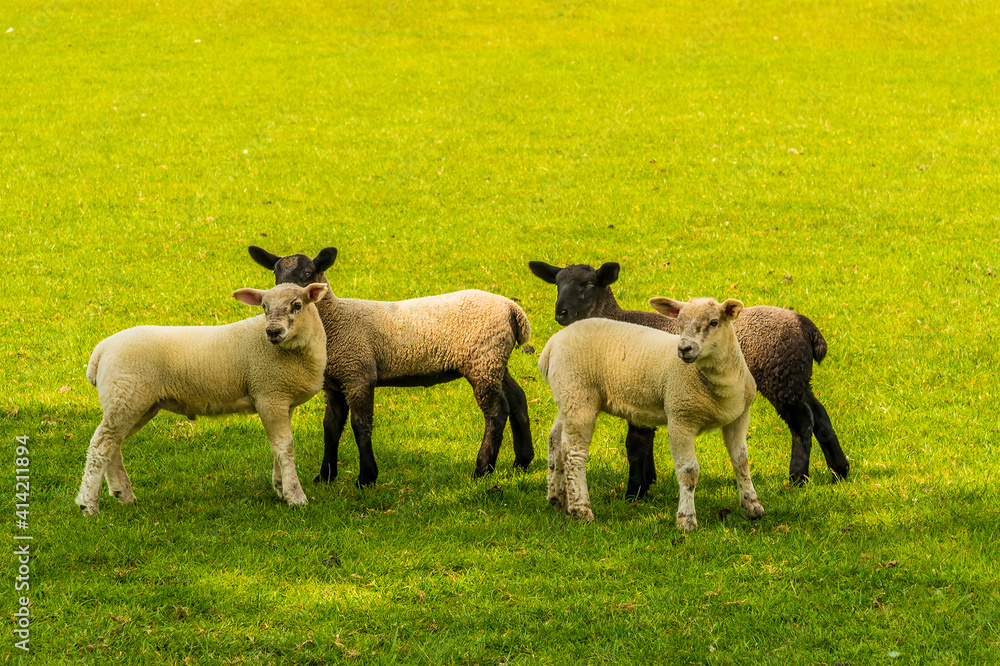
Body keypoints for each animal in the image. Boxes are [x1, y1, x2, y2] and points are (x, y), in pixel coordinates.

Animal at [76, 282, 329, 515]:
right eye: (264, 307)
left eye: (297, 305)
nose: (273, 332)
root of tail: (101, 350)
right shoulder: (269, 395)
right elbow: (285, 447)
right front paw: (295, 496)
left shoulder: (282, 400)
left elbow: (278, 446)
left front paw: (280, 487)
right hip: (126, 396)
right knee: (101, 445)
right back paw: (88, 504)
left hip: (133, 403)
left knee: (113, 445)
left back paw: (124, 494)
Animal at [248, 246, 534, 487]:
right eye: (275, 273)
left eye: (307, 273)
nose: (281, 300)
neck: (337, 320)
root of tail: (512, 309)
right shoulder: (336, 383)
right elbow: (330, 428)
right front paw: (325, 476)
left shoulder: (358, 374)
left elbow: (360, 425)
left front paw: (366, 478)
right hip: (494, 360)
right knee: (518, 398)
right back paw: (522, 461)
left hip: (483, 360)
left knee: (496, 411)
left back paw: (482, 468)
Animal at [529, 261, 848, 496]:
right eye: (557, 284)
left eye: (588, 285)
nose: (561, 313)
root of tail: (804, 325)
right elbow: (643, 442)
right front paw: (648, 483)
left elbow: (635, 445)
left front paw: (635, 493)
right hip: (797, 378)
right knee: (821, 416)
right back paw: (840, 472)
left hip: (781, 377)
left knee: (803, 422)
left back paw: (798, 477)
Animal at [540, 297, 764, 529]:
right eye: (680, 322)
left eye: (714, 322)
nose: (684, 348)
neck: (716, 384)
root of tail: (553, 343)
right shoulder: (680, 418)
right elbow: (689, 471)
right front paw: (686, 519)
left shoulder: (739, 418)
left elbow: (741, 461)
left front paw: (753, 506)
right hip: (578, 396)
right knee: (573, 454)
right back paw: (580, 509)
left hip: (567, 397)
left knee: (555, 440)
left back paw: (557, 498)